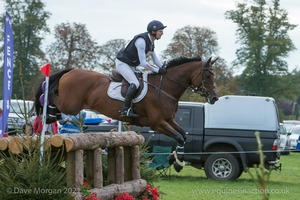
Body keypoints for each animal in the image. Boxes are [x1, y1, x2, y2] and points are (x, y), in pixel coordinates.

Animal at [35, 56, 219, 172]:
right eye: (207, 75)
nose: (215, 97)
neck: (165, 88)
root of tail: (71, 71)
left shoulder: (169, 120)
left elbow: (183, 135)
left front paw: (176, 160)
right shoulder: (157, 123)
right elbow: (179, 137)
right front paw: (176, 162)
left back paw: (51, 114)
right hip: (71, 105)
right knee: (52, 95)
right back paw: (49, 112)